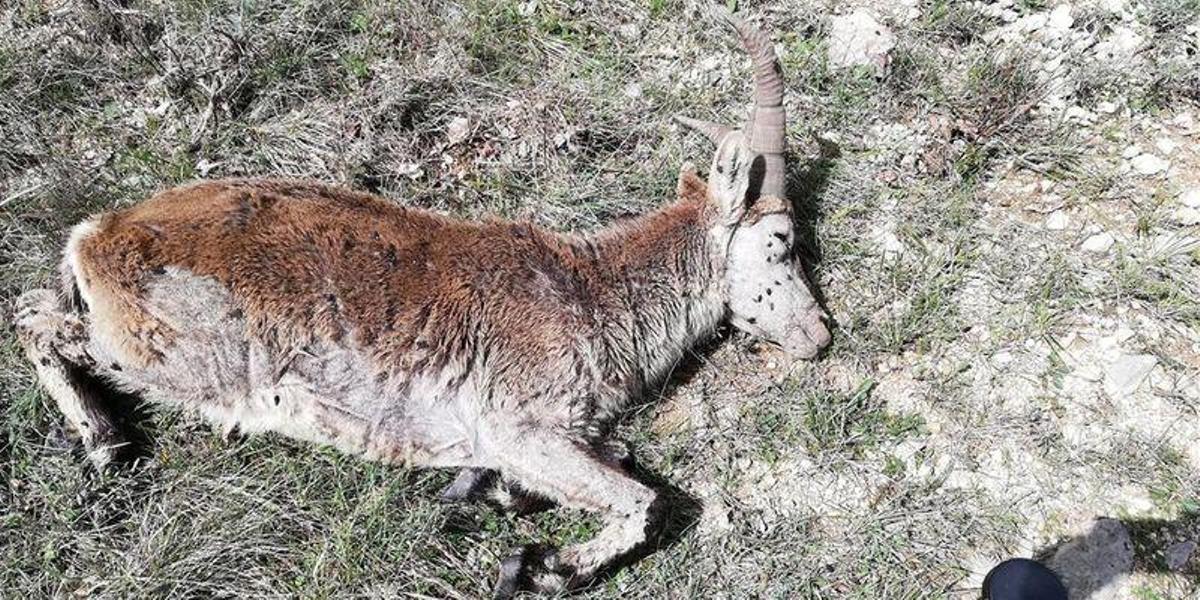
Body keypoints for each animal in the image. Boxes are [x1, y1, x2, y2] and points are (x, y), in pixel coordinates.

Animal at [14, 13, 830, 597]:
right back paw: (101, 440)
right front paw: (548, 566)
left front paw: (496, 504)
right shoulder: (521, 425)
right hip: (173, 352)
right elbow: (646, 502)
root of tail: (96, 235)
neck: (591, 296)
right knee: (33, 318)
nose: (820, 333)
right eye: (782, 240)